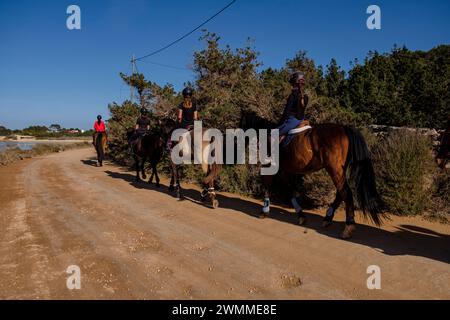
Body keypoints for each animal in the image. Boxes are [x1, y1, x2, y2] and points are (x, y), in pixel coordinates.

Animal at [241, 111, 384, 239]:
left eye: (241, 124)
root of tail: (344, 128)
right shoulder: (286, 170)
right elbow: (292, 189)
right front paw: (300, 215)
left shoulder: (270, 166)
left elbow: (268, 186)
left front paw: (264, 211)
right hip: (339, 170)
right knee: (341, 193)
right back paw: (328, 217)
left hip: (334, 169)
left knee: (346, 193)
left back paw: (348, 227)